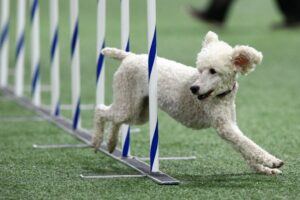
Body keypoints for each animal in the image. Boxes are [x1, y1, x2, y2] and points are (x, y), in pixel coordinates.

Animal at [93, 31, 284, 175]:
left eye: (213, 71)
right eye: (200, 69)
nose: (193, 88)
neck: (220, 96)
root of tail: (129, 57)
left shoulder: (230, 123)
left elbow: (244, 147)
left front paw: (264, 169)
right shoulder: (224, 127)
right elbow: (247, 144)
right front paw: (273, 161)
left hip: (139, 111)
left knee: (116, 119)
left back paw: (111, 143)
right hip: (129, 101)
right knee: (101, 111)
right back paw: (96, 141)